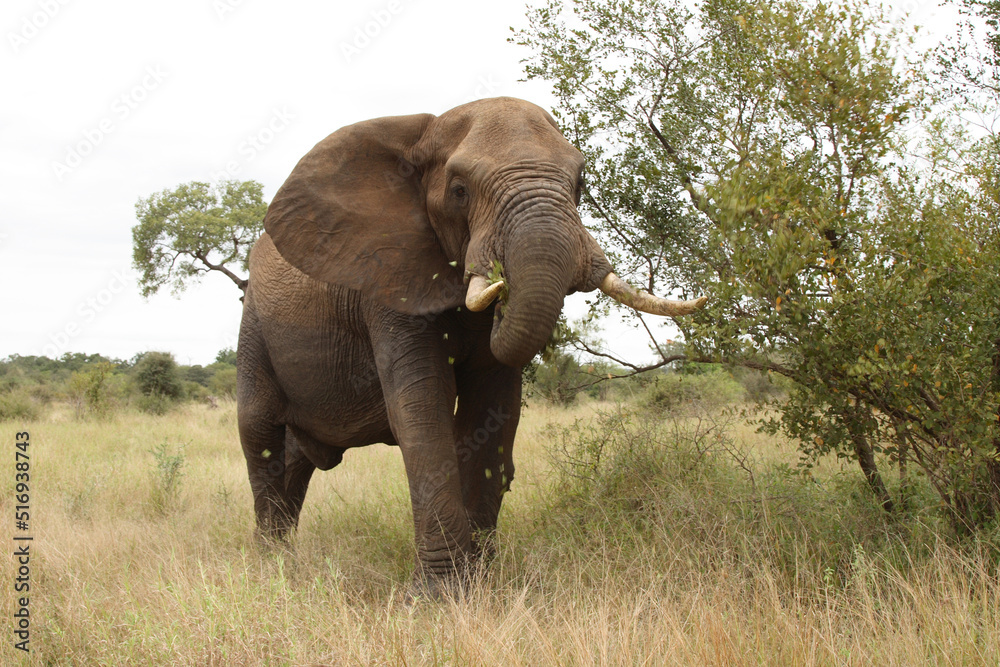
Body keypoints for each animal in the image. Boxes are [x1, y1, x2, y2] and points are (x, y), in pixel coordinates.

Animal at [236, 96, 706, 593]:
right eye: (460, 190)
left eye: (581, 182)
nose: (500, 282)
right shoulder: (388, 280)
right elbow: (423, 407)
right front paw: (440, 594)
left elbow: (491, 408)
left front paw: (480, 582)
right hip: (254, 326)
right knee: (259, 430)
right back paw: (271, 567)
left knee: (295, 457)